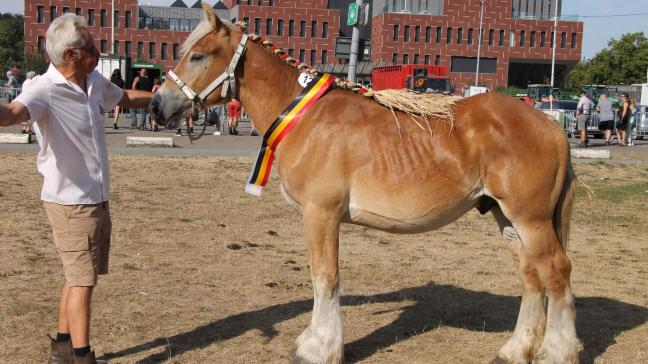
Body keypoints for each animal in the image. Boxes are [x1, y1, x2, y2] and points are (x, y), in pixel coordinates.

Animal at [152, 6, 584, 364]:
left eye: (197, 56)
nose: (157, 106)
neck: (305, 118)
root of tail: (549, 124)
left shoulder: (321, 215)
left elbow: (325, 277)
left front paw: (318, 348)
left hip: (531, 219)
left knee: (557, 273)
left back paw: (557, 352)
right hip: (506, 218)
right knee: (532, 277)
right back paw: (515, 350)